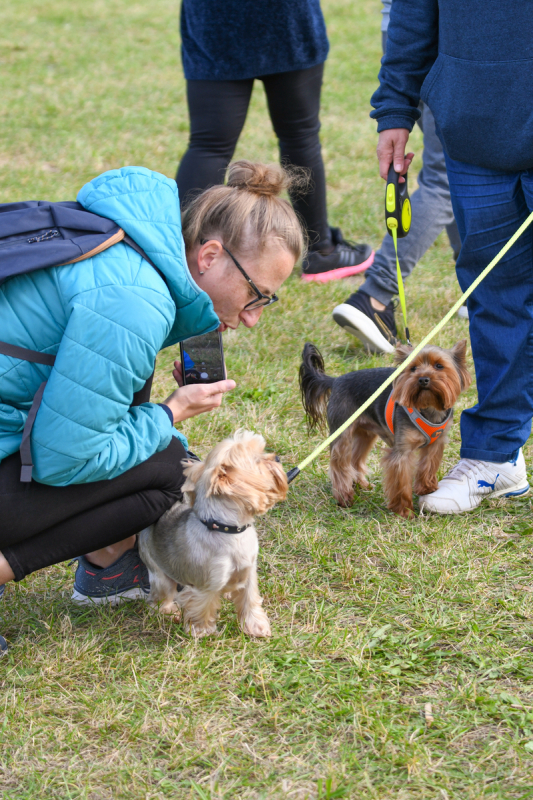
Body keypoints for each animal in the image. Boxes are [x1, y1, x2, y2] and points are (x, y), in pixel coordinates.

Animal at [138, 432, 286, 636]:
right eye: (257, 461)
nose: (277, 458)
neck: (230, 531)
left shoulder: (249, 572)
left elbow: (249, 600)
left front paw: (256, 625)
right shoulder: (207, 585)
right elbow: (202, 607)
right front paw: (201, 631)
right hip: (159, 574)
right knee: (159, 598)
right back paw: (169, 611)